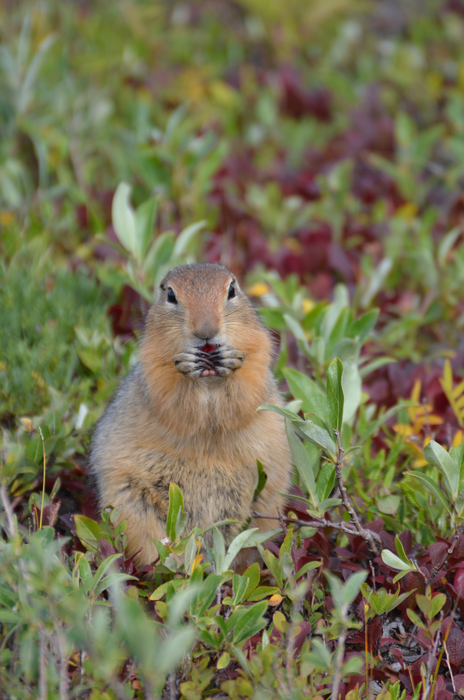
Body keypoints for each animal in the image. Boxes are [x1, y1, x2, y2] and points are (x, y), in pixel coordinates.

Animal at [90, 262, 290, 568]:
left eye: (232, 290)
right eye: (171, 295)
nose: (206, 330)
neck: (208, 379)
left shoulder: (258, 353)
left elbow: (245, 388)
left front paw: (231, 363)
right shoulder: (154, 365)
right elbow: (175, 396)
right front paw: (186, 367)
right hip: (132, 506)